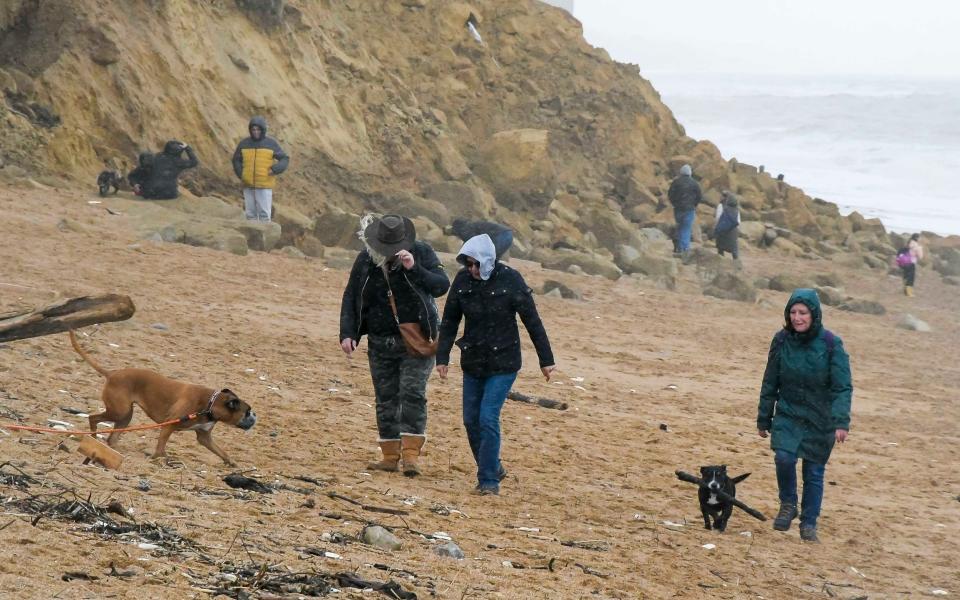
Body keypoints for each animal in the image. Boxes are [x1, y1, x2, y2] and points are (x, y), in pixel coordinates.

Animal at [68, 330, 255, 466]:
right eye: (247, 412)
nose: (255, 417)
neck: (210, 404)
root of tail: (113, 374)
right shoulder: (169, 425)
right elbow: (161, 445)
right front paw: (159, 458)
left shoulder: (205, 437)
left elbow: (221, 451)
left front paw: (231, 462)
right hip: (119, 412)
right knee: (93, 418)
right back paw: (93, 436)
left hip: (125, 416)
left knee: (112, 437)